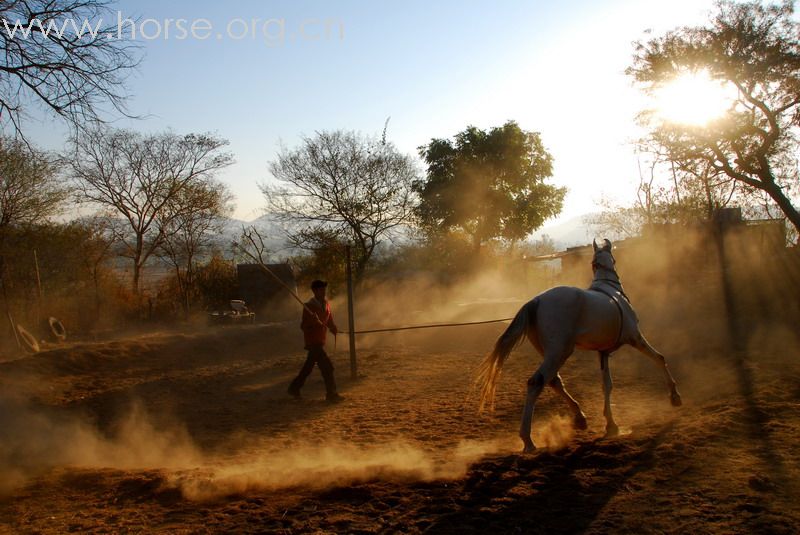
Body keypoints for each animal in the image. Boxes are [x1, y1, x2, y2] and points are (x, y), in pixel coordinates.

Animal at [476, 239, 680, 452]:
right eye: (615, 258)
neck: (612, 291)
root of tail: (536, 301)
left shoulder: (603, 353)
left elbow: (606, 385)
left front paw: (611, 425)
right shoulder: (635, 337)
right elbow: (659, 358)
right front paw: (675, 397)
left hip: (551, 353)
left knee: (554, 381)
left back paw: (580, 418)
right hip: (559, 352)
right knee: (536, 383)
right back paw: (528, 440)